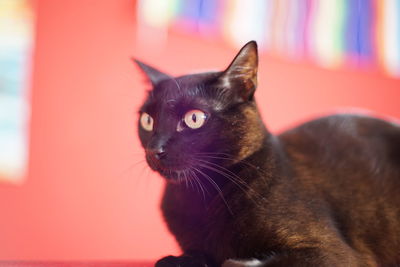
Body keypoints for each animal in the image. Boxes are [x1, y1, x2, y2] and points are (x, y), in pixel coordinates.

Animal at [135, 40, 400, 266]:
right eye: (147, 120)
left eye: (194, 118)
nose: (155, 149)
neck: (199, 198)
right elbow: (179, 258)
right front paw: (179, 260)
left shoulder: (331, 252)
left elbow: (241, 262)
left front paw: (237, 261)